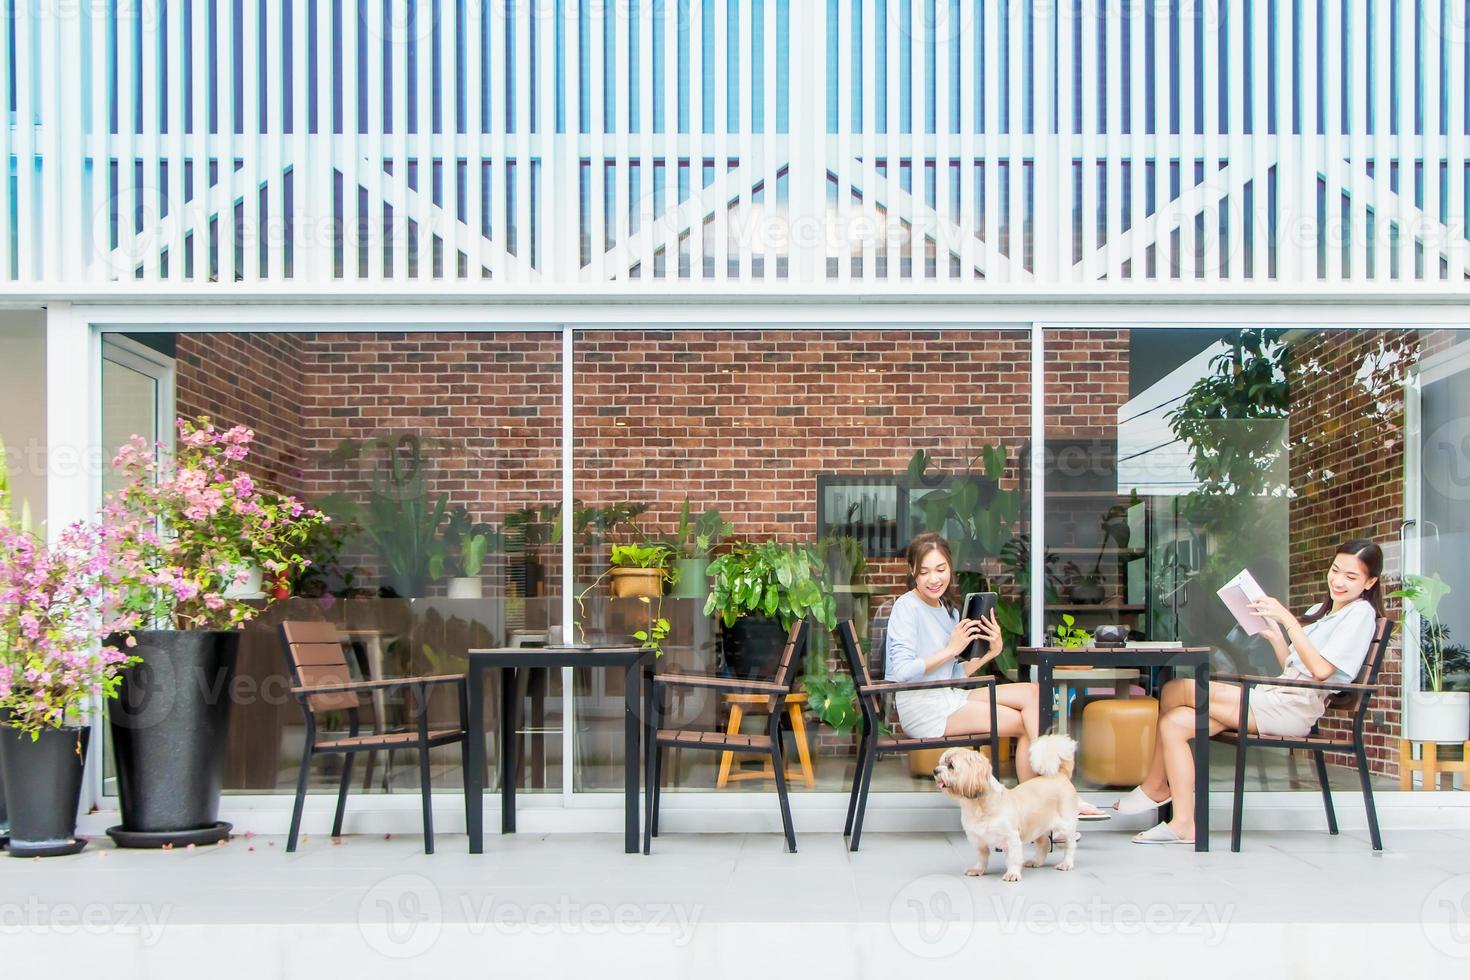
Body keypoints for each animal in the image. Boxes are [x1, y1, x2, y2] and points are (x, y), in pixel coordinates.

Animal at [934, 734, 1087, 881]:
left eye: (951, 766)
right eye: (940, 763)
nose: (935, 771)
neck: (978, 807)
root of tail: (1060, 775)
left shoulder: (1012, 838)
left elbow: (1013, 858)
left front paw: (1012, 874)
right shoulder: (978, 840)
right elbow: (982, 857)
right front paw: (977, 869)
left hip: (1066, 825)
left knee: (1070, 845)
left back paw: (1066, 863)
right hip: (1039, 829)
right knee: (1044, 844)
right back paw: (1036, 861)